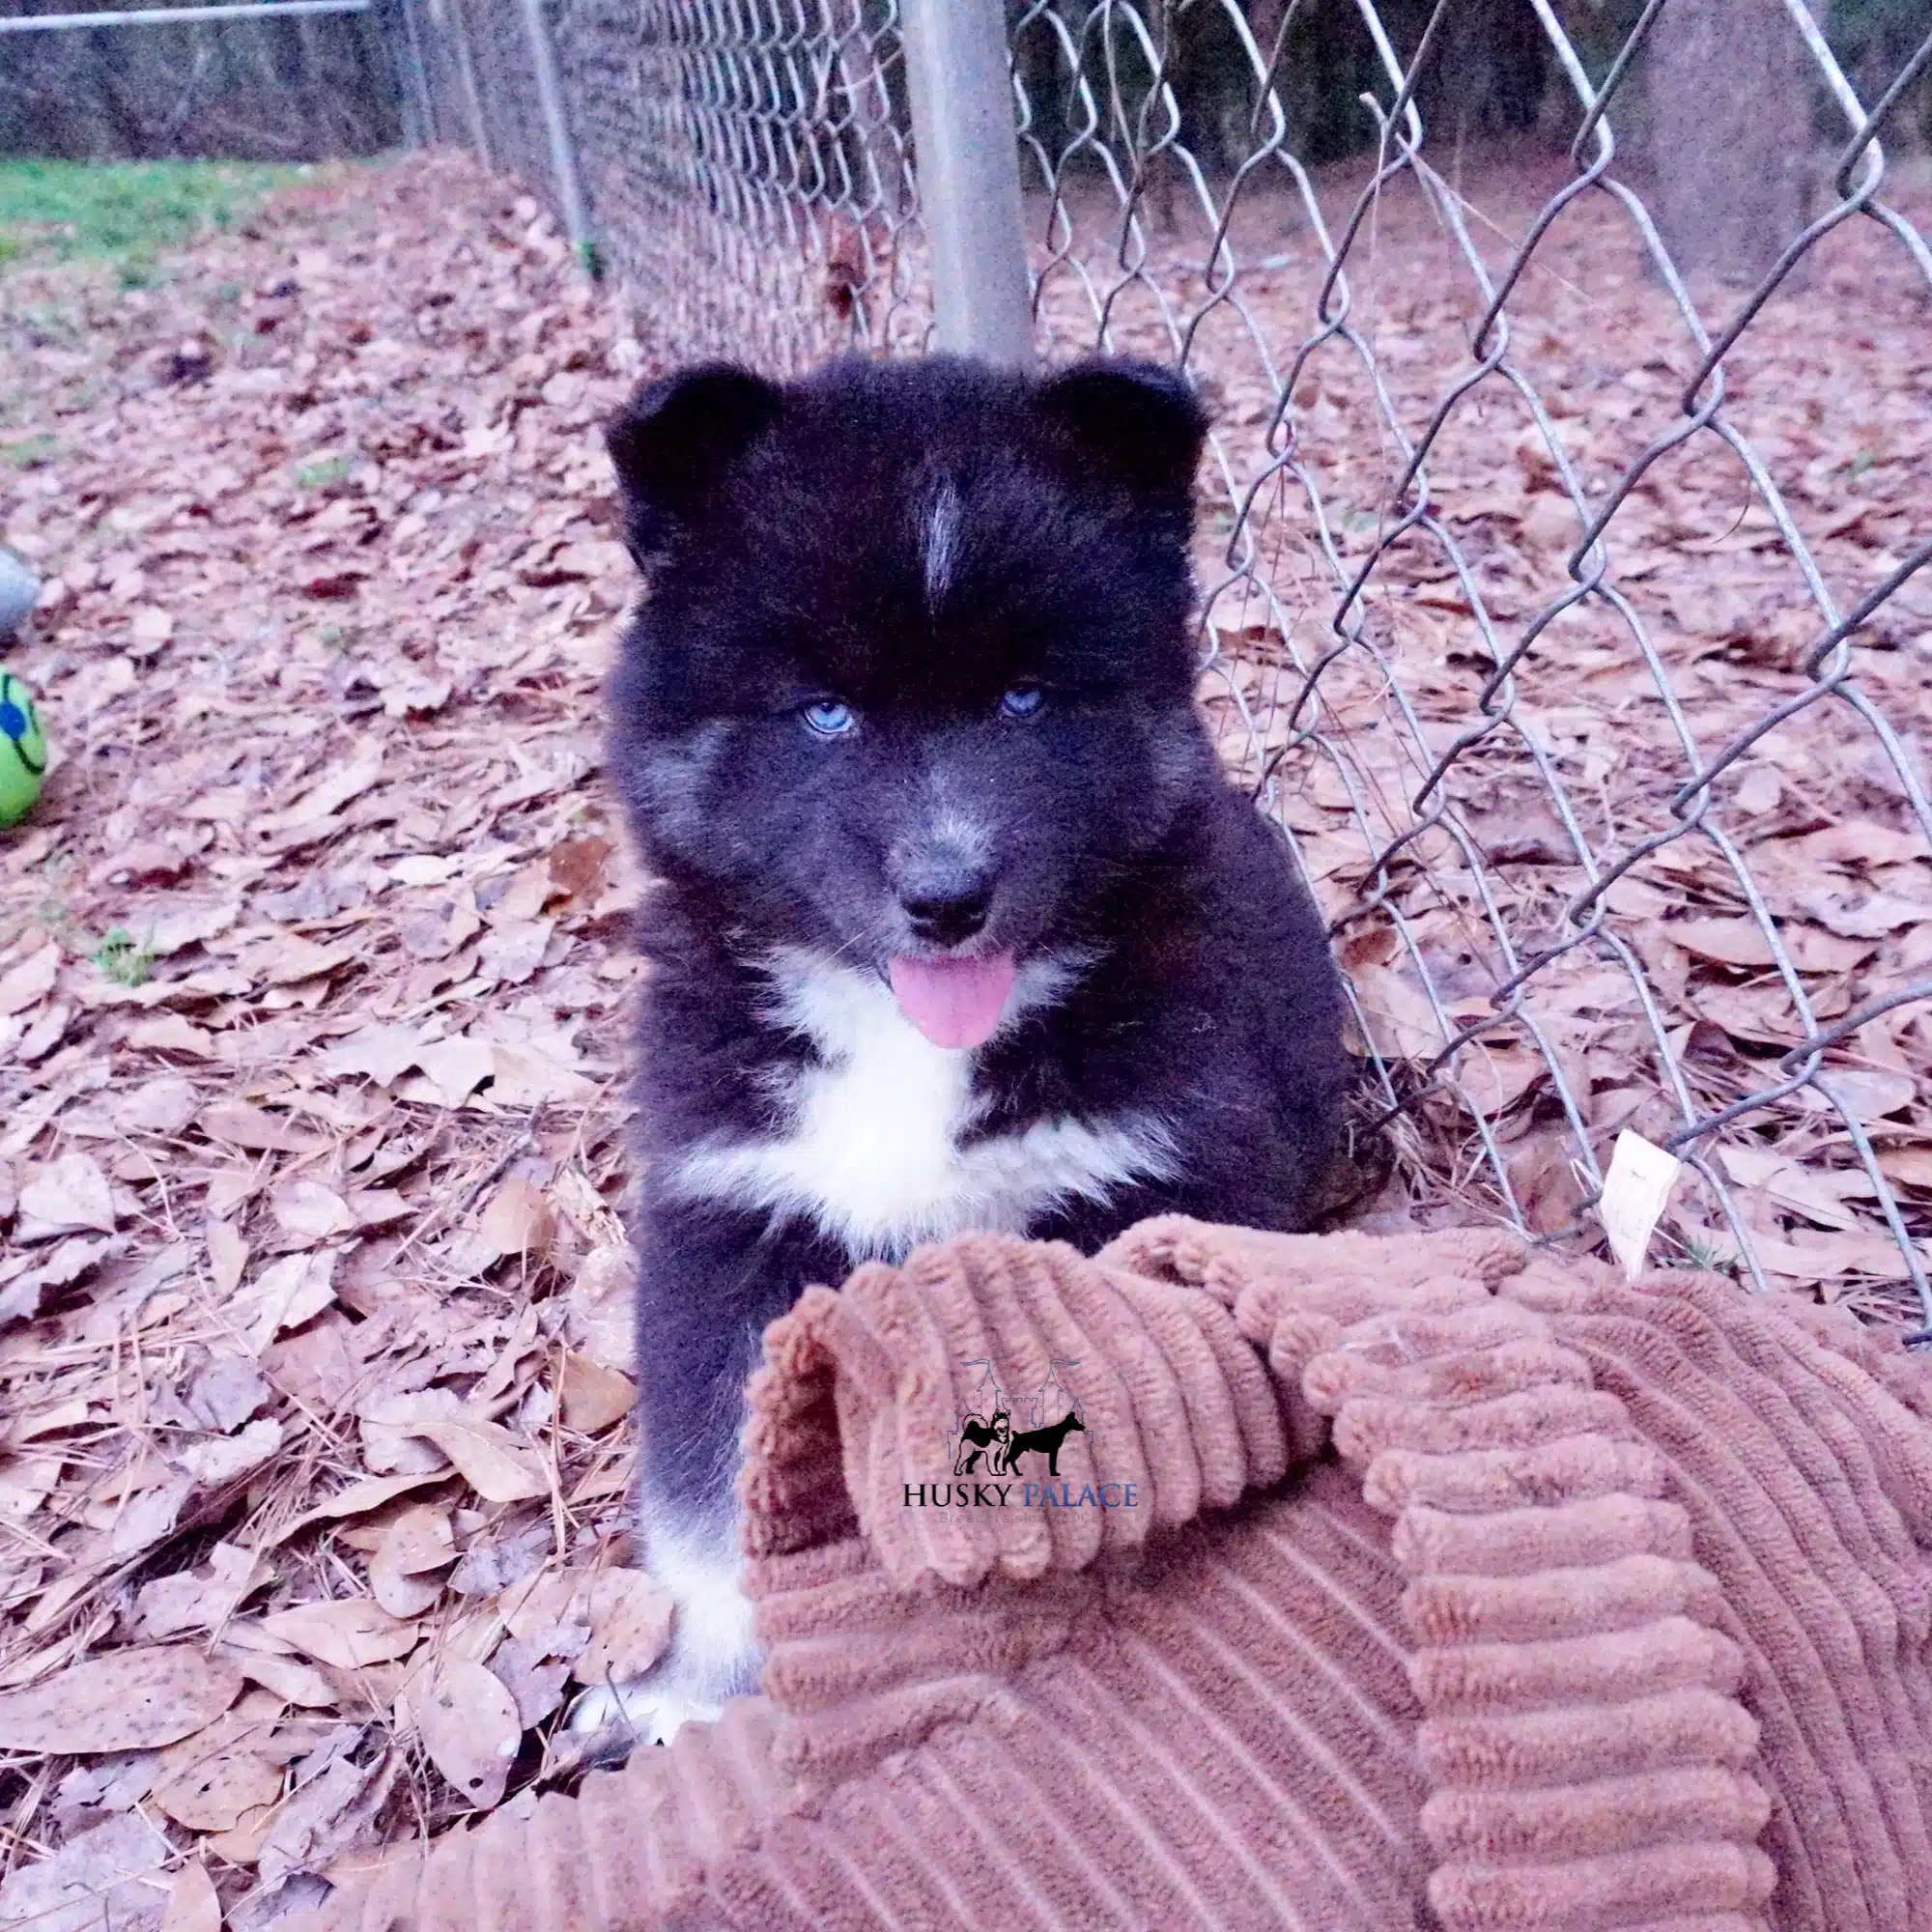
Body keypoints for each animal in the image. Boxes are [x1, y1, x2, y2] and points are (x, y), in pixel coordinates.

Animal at [587, 359, 1345, 1739]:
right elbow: (712, 1499)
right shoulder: (735, 1213)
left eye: (1026, 697)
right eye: (823, 711)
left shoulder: (1147, 1186)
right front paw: (707, 1690)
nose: (946, 895)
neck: (902, 1040)